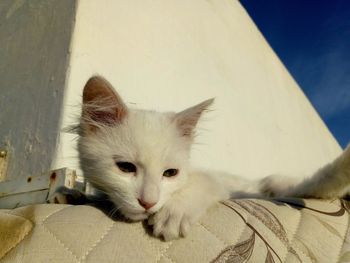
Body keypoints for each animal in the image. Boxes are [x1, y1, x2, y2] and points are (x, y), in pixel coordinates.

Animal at [67, 76, 350, 241]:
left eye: (170, 173)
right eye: (125, 167)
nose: (148, 202)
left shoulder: (217, 181)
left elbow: (201, 183)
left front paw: (174, 213)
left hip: (280, 184)